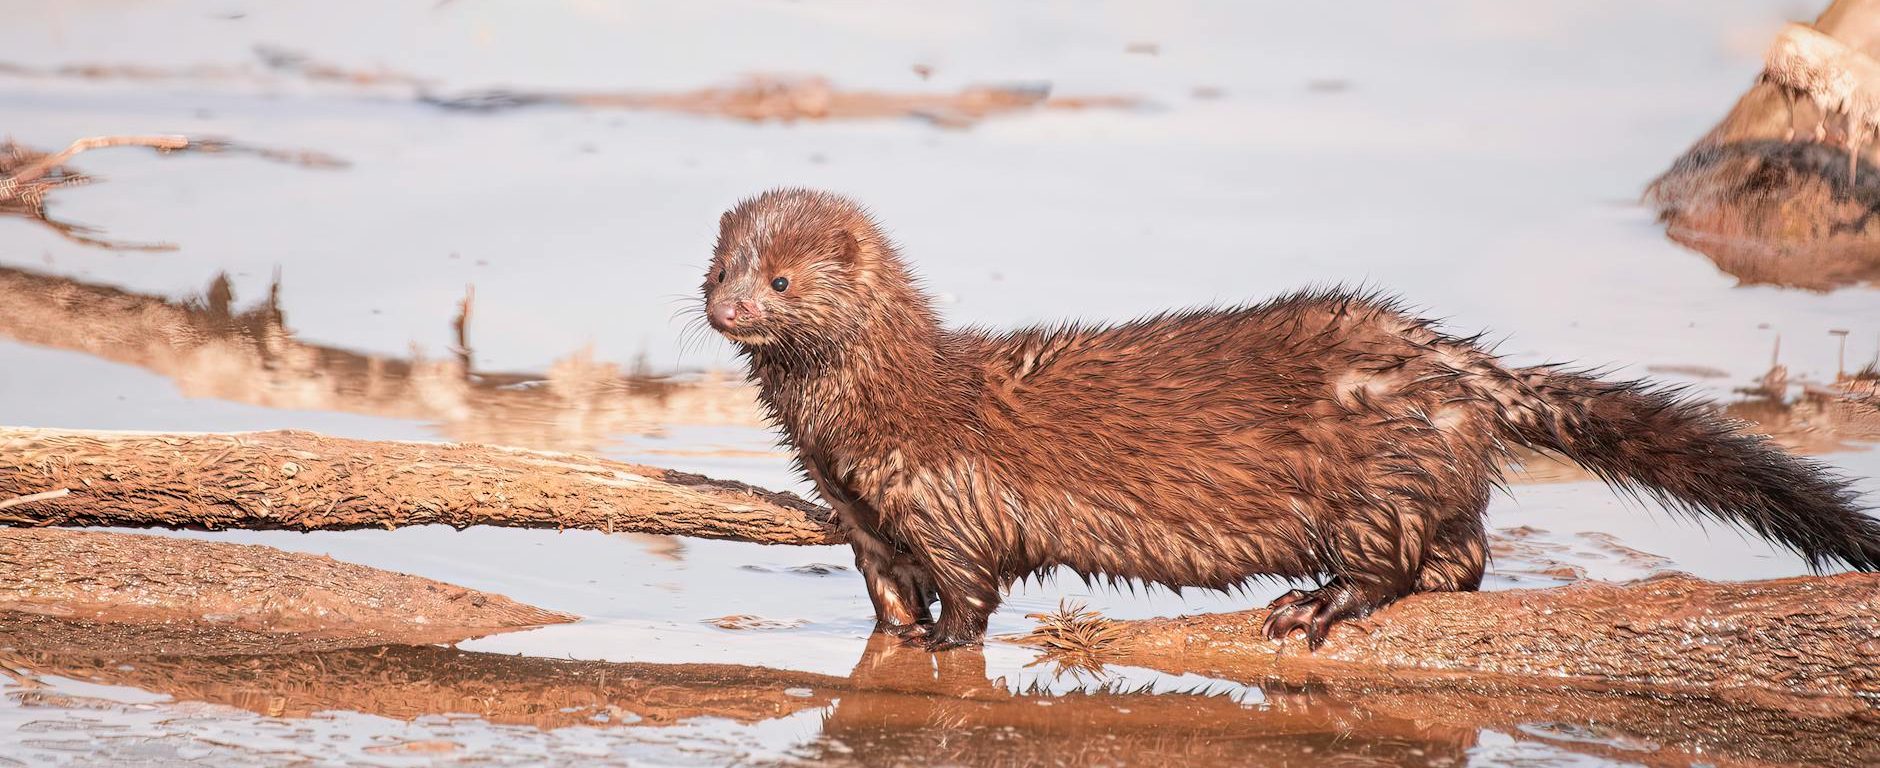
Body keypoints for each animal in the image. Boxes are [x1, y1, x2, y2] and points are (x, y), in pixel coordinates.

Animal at [699, 188, 1880, 650]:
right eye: (717, 269)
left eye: (782, 278)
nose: (724, 309)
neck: (852, 428)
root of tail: (1450, 364)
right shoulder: (858, 509)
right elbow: (883, 580)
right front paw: (891, 634)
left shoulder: (947, 495)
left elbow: (972, 588)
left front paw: (942, 643)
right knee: (1463, 555)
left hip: (1372, 476)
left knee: (1397, 561)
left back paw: (1313, 605)